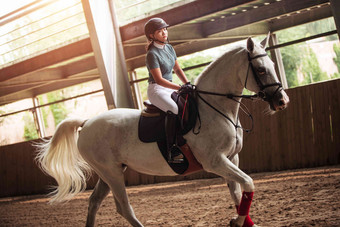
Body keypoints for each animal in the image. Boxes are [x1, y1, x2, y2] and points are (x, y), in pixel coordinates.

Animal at [35, 36, 288, 226]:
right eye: (261, 70)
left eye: (272, 67)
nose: (282, 101)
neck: (215, 108)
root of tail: (86, 122)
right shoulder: (215, 161)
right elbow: (248, 183)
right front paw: (238, 221)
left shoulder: (231, 158)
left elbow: (237, 193)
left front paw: (242, 221)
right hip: (112, 173)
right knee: (124, 208)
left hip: (108, 173)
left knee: (94, 202)